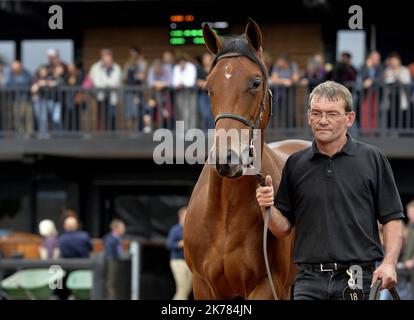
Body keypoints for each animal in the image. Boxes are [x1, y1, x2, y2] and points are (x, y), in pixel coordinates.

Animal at [183, 18, 308, 298]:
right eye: (209, 87)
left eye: (255, 83)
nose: (225, 159)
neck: (225, 215)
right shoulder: (202, 284)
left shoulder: (267, 285)